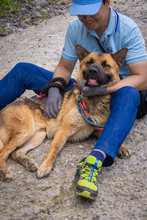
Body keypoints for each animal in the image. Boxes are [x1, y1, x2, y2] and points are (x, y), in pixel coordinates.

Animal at [0, 44, 130, 180]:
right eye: (89, 62)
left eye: (105, 65)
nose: (93, 71)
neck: (93, 99)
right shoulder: (64, 130)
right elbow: (54, 148)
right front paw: (46, 166)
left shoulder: (96, 129)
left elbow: (108, 138)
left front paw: (121, 147)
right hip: (25, 131)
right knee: (3, 153)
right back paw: (4, 170)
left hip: (38, 135)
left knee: (15, 153)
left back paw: (27, 162)